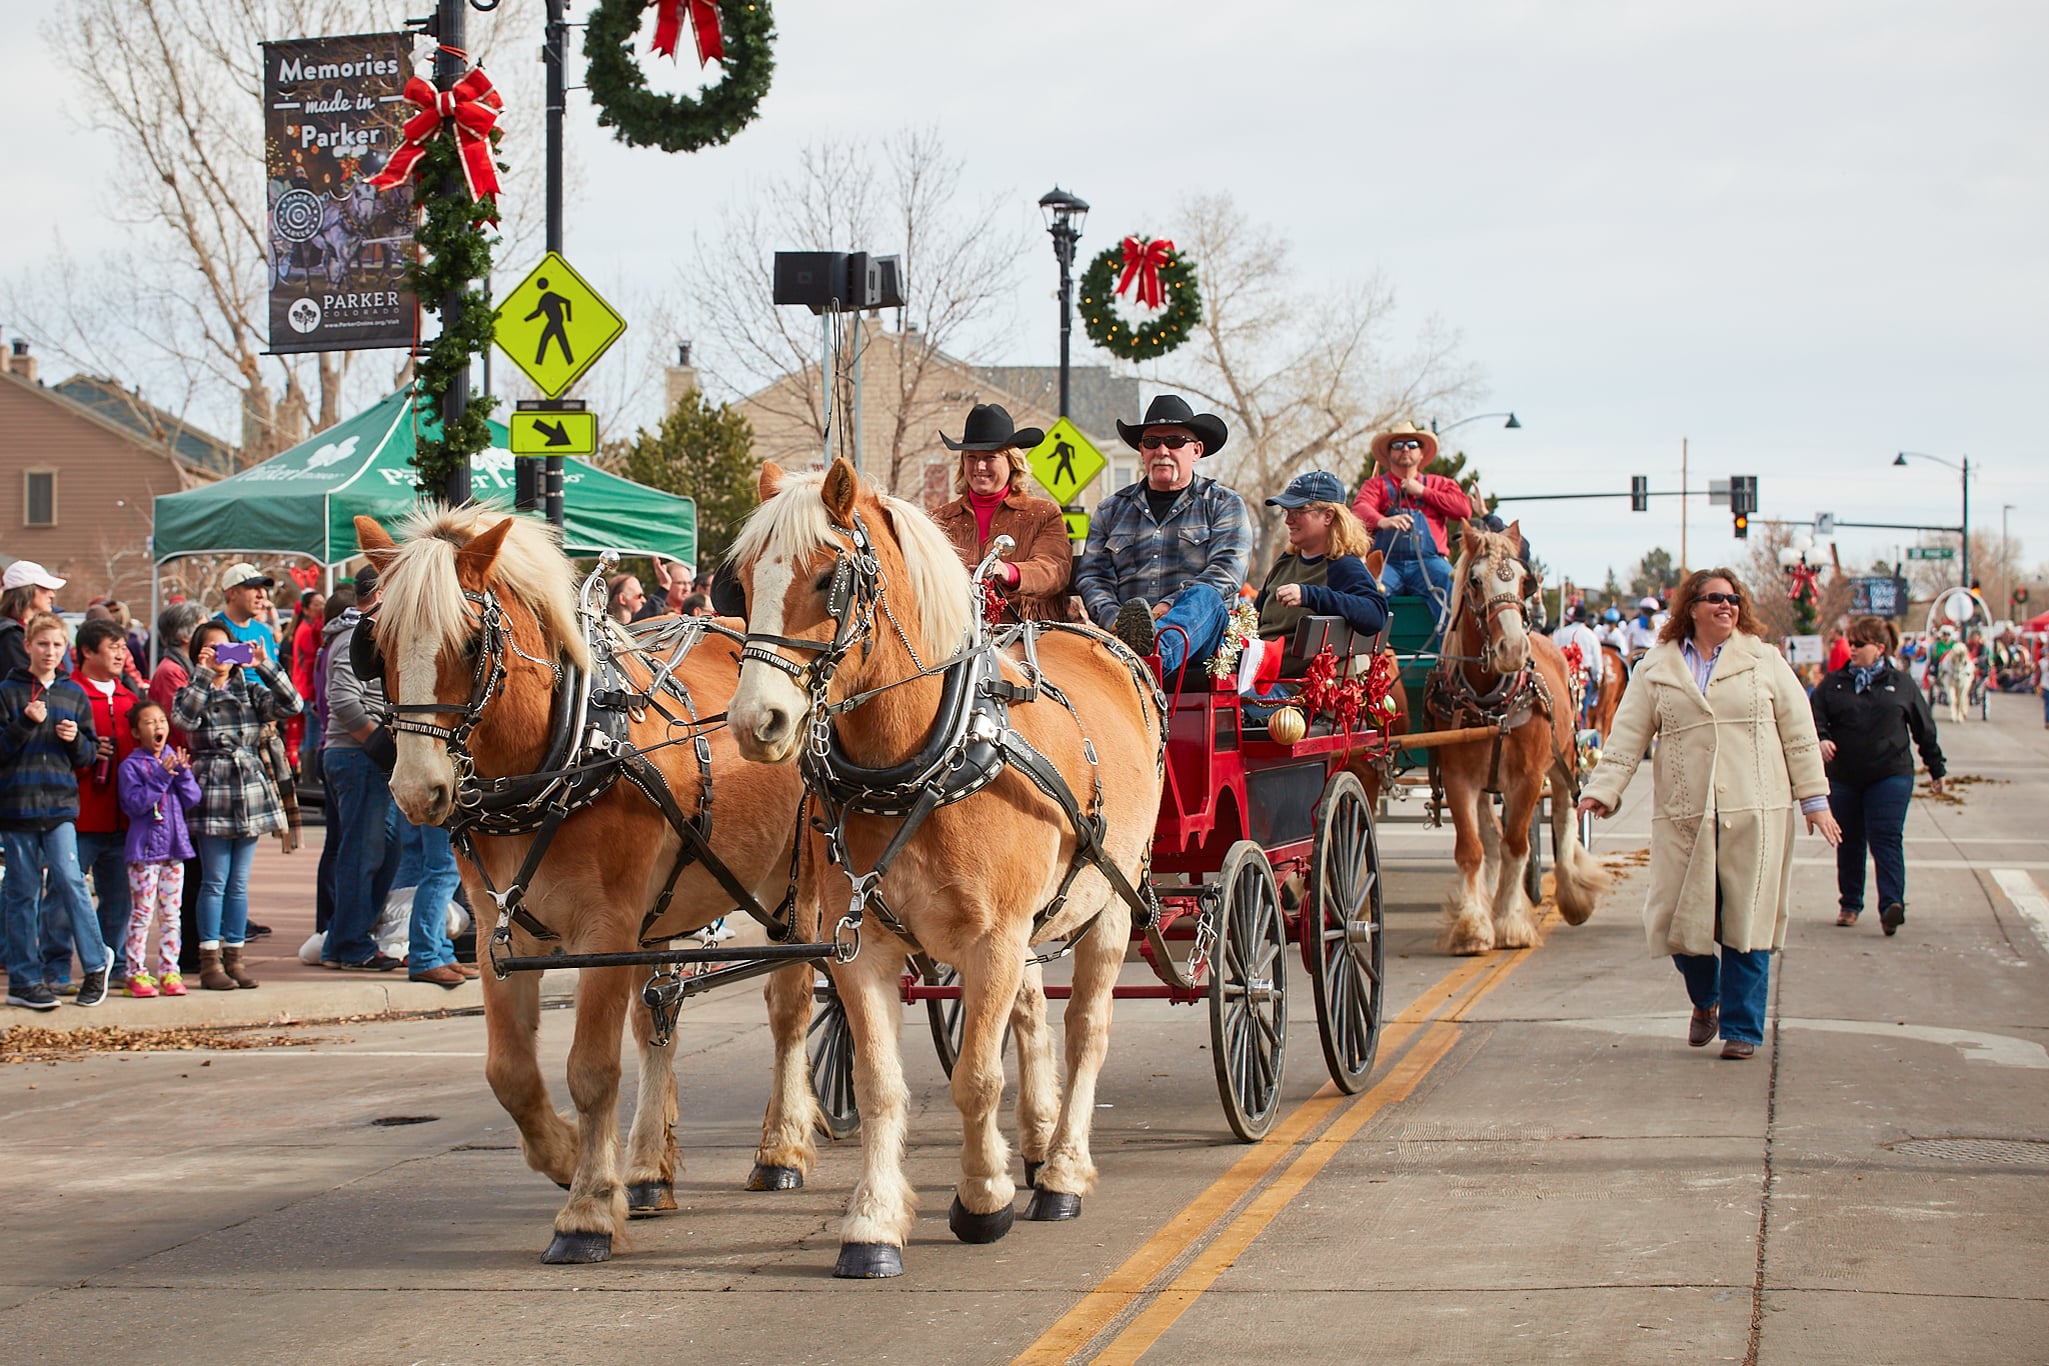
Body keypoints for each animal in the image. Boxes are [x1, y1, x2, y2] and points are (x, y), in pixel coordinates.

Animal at [356, 509, 827, 1269]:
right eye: (378, 646)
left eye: (470, 641)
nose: (416, 790)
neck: (560, 756)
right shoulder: (501, 932)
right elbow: (510, 1073)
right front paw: (572, 1155)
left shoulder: (604, 928)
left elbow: (591, 1069)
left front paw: (586, 1212)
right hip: (662, 913)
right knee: (658, 1020)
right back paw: (646, 1171)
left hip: (799, 885)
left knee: (789, 1006)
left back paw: (780, 1150)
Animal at [729, 458, 1163, 1286]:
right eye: (738, 581)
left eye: (829, 577)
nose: (754, 722)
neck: (923, 760)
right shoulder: (862, 946)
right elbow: (879, 1083)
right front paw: (872, 1222)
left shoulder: (993, 940)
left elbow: (974, 1077)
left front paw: (983, 1198)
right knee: (1031, 1015)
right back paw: (1035, 1142)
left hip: (1112, 904)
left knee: (1087, 1029)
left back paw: (1061, 1171)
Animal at [1426, 518, 1614, 958]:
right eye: (1475, 580)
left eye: (1524, 580)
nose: (1512, 648)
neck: (1491, 703)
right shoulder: (1458, 778)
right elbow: (1473, 848)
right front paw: (1473, 926)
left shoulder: (1528, 778)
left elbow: (1518, 845)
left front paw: (1510, 922)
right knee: (1490, 834)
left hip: (1564, 759)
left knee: (1564, 815)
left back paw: (1570, 893)